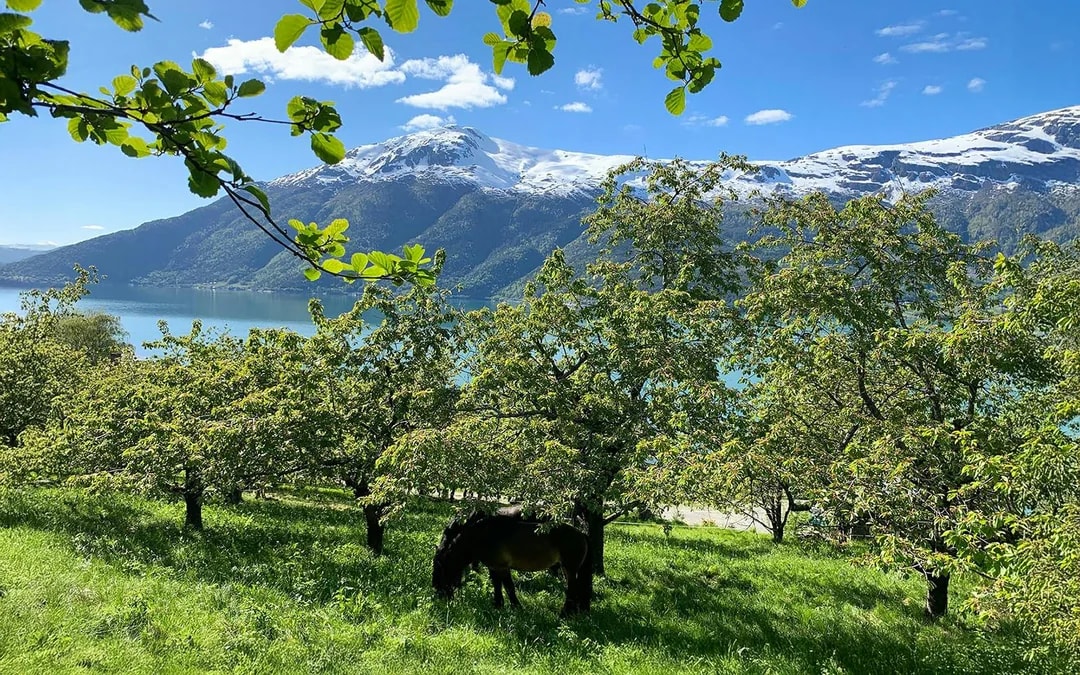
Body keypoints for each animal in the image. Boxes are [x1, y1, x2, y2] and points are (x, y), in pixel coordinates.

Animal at [431, 509, 589, 616]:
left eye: (440, 571)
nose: (439, 595)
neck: (483, 536)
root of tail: (581, 534)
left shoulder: (502, 567)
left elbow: (509, 588)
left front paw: (516, 607)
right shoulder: (494, 567)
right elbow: (497, 585)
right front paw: (498, 605)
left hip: (569, 569)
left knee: (572, 588)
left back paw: (565, 613)